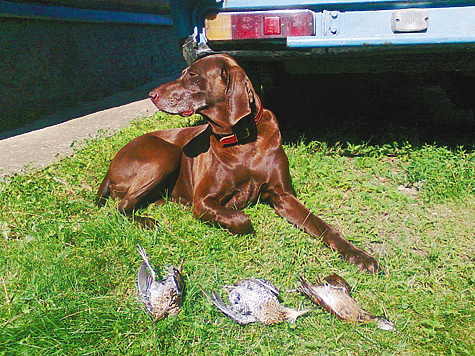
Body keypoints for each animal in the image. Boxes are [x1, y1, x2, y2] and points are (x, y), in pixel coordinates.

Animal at [96, 54, 380, 274]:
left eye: (193, 75)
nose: (151, 95)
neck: (243, 139)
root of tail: (110, 166)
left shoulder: (284, 196)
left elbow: (323, 226)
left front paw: (359, 256)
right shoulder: (204, 201)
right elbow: (242, 219)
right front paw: (235, 208)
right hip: (167, 153)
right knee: (120, 207)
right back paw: (148, 221)